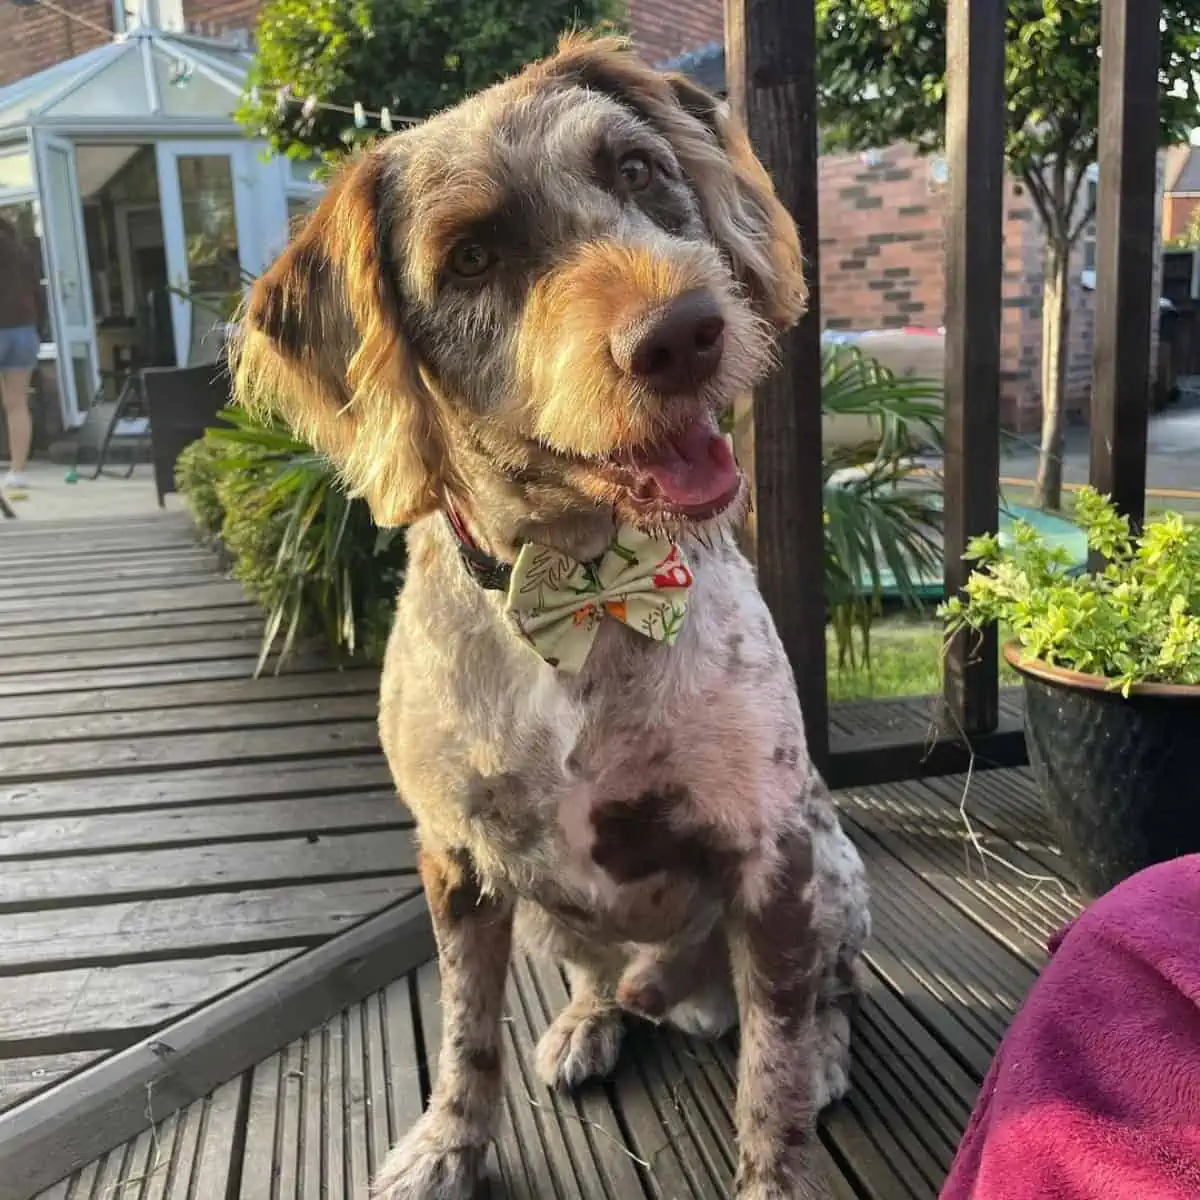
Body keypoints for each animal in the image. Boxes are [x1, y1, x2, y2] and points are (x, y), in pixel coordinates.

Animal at [234, 32, 873, 1195]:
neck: (583, 588)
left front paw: (779, 1153)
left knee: (815, 1001)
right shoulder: (456, 862)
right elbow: (464, 1032)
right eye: (471, 257)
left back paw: (823, 1051)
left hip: (836, 874)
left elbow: (772, 1073)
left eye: (635, 170)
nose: (683, 334)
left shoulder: (771, 855)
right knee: (599, 974)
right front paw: (448, 1144)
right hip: (542, 913)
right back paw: (592, 1020)